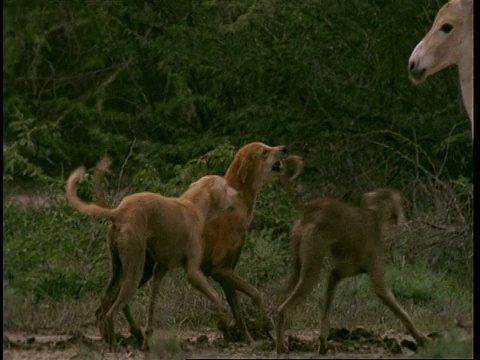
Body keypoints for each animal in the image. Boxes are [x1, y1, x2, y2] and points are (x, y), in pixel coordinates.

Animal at [66, 159, 239, 350]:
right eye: (226, 186)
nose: (238, 194)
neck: (194, 205)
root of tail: (120, 211)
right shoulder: (193, 272)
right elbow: (216, 298)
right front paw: (227, 326)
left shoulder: (160, 269)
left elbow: (152, 305)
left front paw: (147, 339)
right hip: (135, 270)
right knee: (112, 311)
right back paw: (115, 345)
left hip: (122, 268)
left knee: (105, 300)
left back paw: (111, 339)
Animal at [94, 142, 288, 344]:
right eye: (265, 151)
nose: (285, 148)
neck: (238, 199)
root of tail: (119, 212)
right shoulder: (221, 270)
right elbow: (254, 296)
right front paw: (260, 329)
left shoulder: (225, 272)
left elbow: (239, 308)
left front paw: (247, 336)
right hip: (138, 267)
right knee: (115, 303)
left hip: (139, 268)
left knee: (106, 304)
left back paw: (122, 335)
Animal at [274, 157, 428, 354]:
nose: (403, 216)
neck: (376, 216)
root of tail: (310, 208)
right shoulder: (374, 248)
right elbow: (383, 293)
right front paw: (421, 338)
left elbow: (334, 276)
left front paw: (323, 341)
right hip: (314, 240)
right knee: (303, 286)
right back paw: (281, 342)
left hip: (296, 238)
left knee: (289, 284)